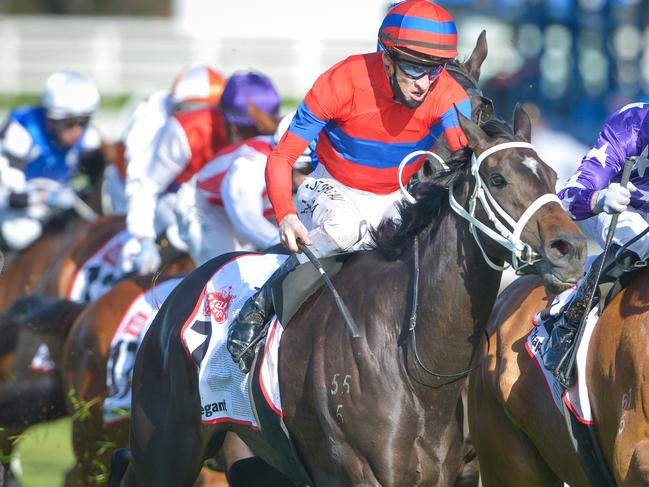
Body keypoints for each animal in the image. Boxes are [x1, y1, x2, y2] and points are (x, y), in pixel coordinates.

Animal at [114, 107, 584, 487]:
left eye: (552, 176)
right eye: (498, 178)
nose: (571, 248)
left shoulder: (445, 473)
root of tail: (176, 295)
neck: (412, 360)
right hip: (165, 451)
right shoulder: (363, 472)